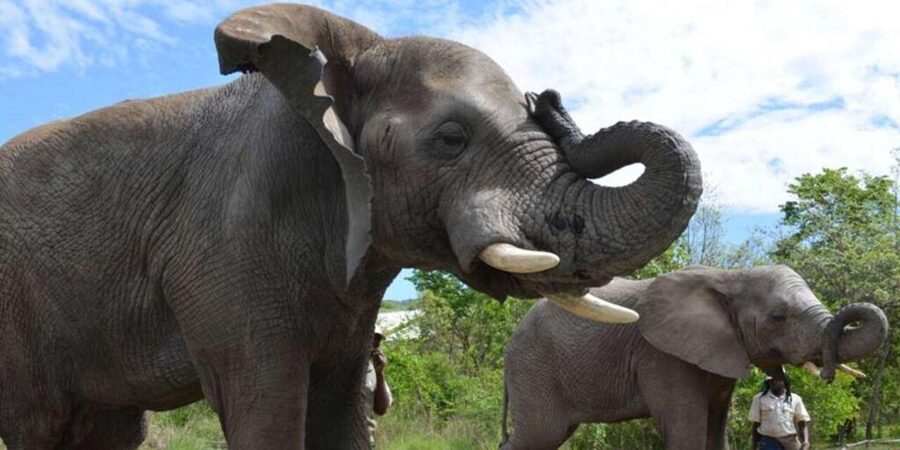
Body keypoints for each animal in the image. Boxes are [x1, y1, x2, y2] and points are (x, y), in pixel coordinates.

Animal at [0, 3, 703, 449]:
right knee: (39, 423)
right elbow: (265, 405)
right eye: (451, 139)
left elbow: (338, 408)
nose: (549, 99)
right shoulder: (223, 247)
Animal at [501, 265, 889, 450]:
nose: (826, 373)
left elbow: (715, 431)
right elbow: (687, 432)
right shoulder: (662, 355)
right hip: (533, 366)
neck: (732, 276)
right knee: (541, 434)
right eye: (778, 317)